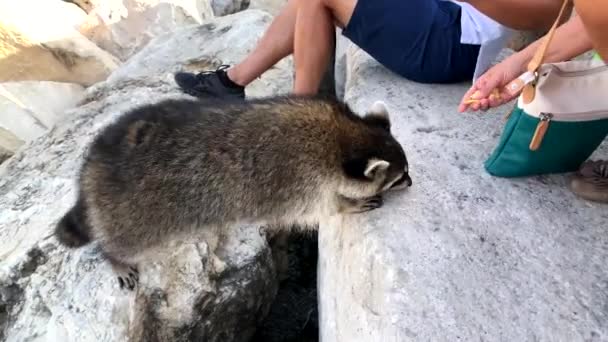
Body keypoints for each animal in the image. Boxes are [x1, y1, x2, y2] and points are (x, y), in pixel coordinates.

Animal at [53, 95, 414, 290]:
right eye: (398, 179)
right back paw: (113, 255)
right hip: (133, 213)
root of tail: (92, 165)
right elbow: (318, 209)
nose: (410, 183)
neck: (343, 135)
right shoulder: (301, 182)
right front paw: (347, 204)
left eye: (405, 171)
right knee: (125, 240)